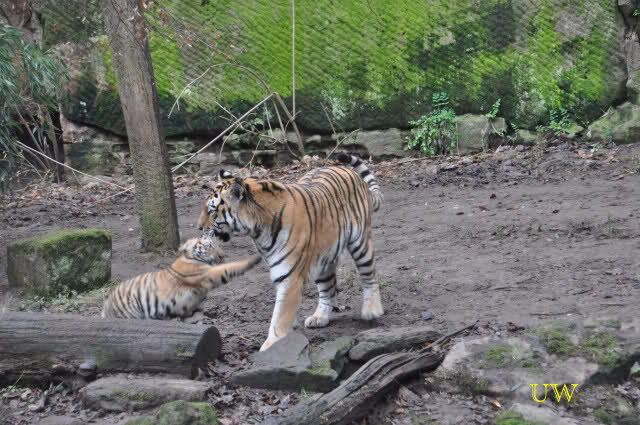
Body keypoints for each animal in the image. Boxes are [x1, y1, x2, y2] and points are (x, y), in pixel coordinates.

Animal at [101, 236, 261, 320]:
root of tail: (106, 306)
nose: (222, 256)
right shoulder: (208, 274)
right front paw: (255, 258)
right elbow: (231, 267)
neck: (190, 257)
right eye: (209, 246)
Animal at [198, 153, 384, 352]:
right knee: (328, 289)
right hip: (323, 258)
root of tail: (347, 171)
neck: (257, 230)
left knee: (370, 276)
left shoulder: (289, 276)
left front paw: (271, 345)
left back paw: (372, 310)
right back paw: (320, 317)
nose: (198, 227)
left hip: (360, 243)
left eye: (211, 211)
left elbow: (280, 317)